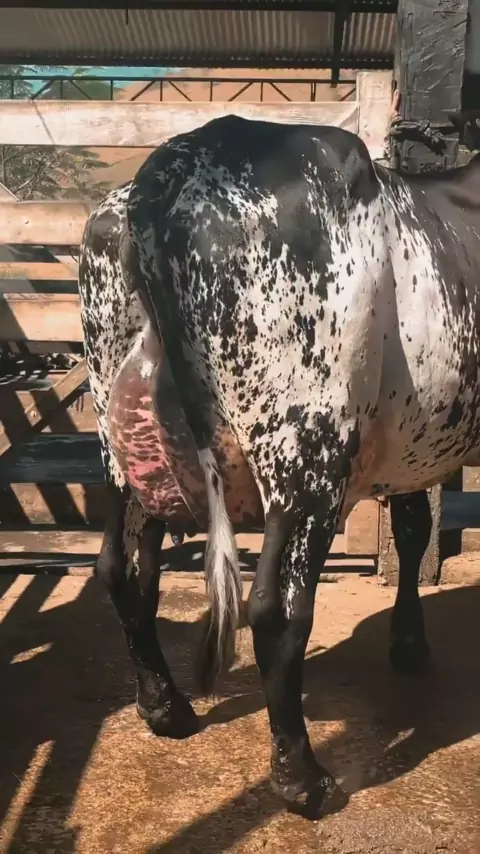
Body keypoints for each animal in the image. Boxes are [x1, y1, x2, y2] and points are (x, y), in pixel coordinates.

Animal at [78, 116, 480, 818]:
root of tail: (171, 165)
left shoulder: (408, 447)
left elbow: (411, 529)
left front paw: (408, 643)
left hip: (121, 442)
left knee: (121, 570)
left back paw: (165, 708)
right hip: (306, 452)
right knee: (277, 609)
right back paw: (303, 778)